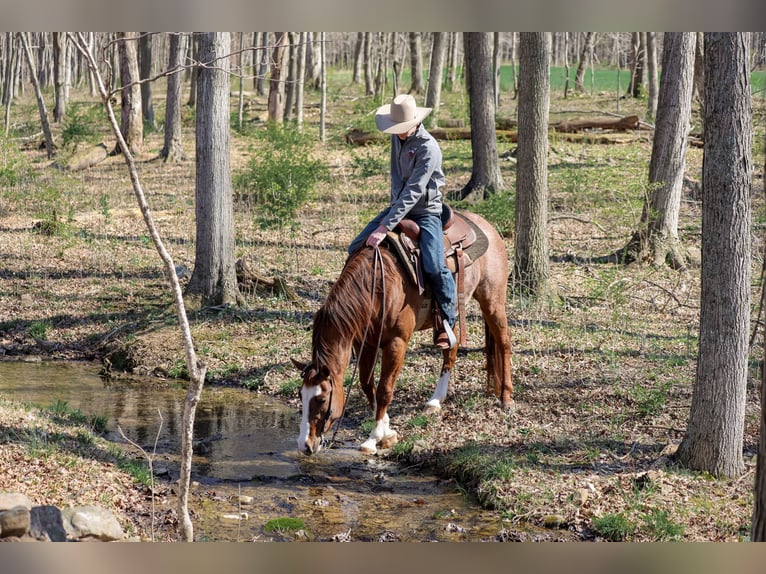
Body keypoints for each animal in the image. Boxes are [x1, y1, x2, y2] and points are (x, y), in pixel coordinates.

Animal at [291, 210, 513, 455]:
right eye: (301, 394)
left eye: (321, 399)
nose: (304, 445)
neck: (377, 287)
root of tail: (487, 226)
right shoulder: (366, 343)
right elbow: (367, 385)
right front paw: (387, 431)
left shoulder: (397, 342)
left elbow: (385, 389)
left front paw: (374, 438)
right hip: (451, 316)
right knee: (451, 350)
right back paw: (435, 401)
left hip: (492, 301)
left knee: (504, 342)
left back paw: (506, 398)